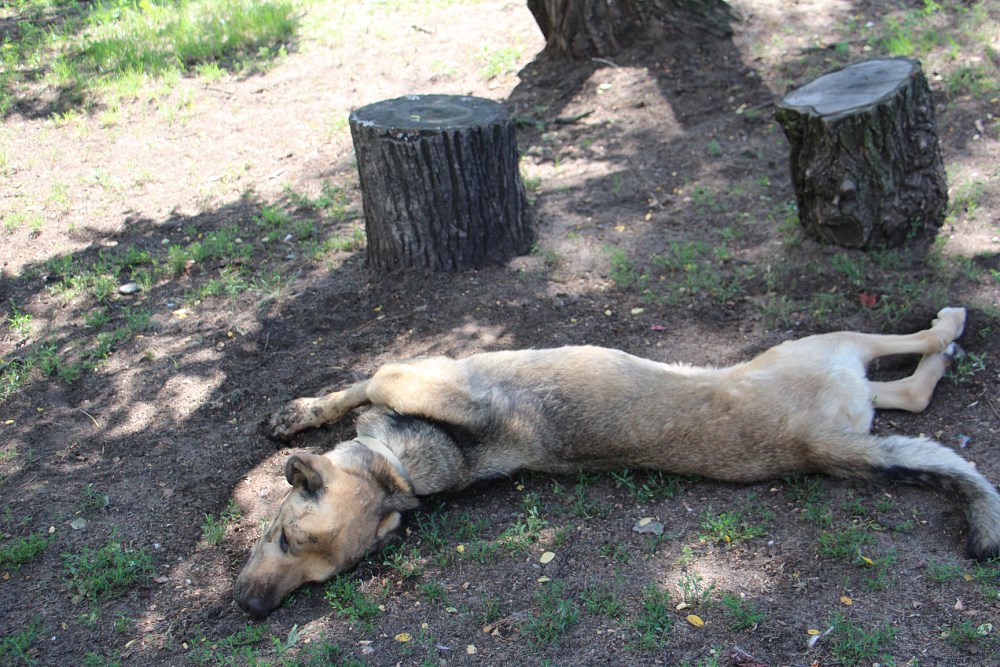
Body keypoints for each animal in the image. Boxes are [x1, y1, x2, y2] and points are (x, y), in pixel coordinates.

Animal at [234, 307, 1000, 619]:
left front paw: (301, 412)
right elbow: (362, 386)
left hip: (829, 349)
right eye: (304, 564)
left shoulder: (411, 375)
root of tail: (816, 446)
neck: (405, 470)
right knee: (912, 384)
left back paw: (952, 325)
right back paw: (949, 339)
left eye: (287, 536)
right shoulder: (408, 382)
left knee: (912, 356)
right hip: (839, 368)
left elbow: (363, 383)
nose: (249, 608)